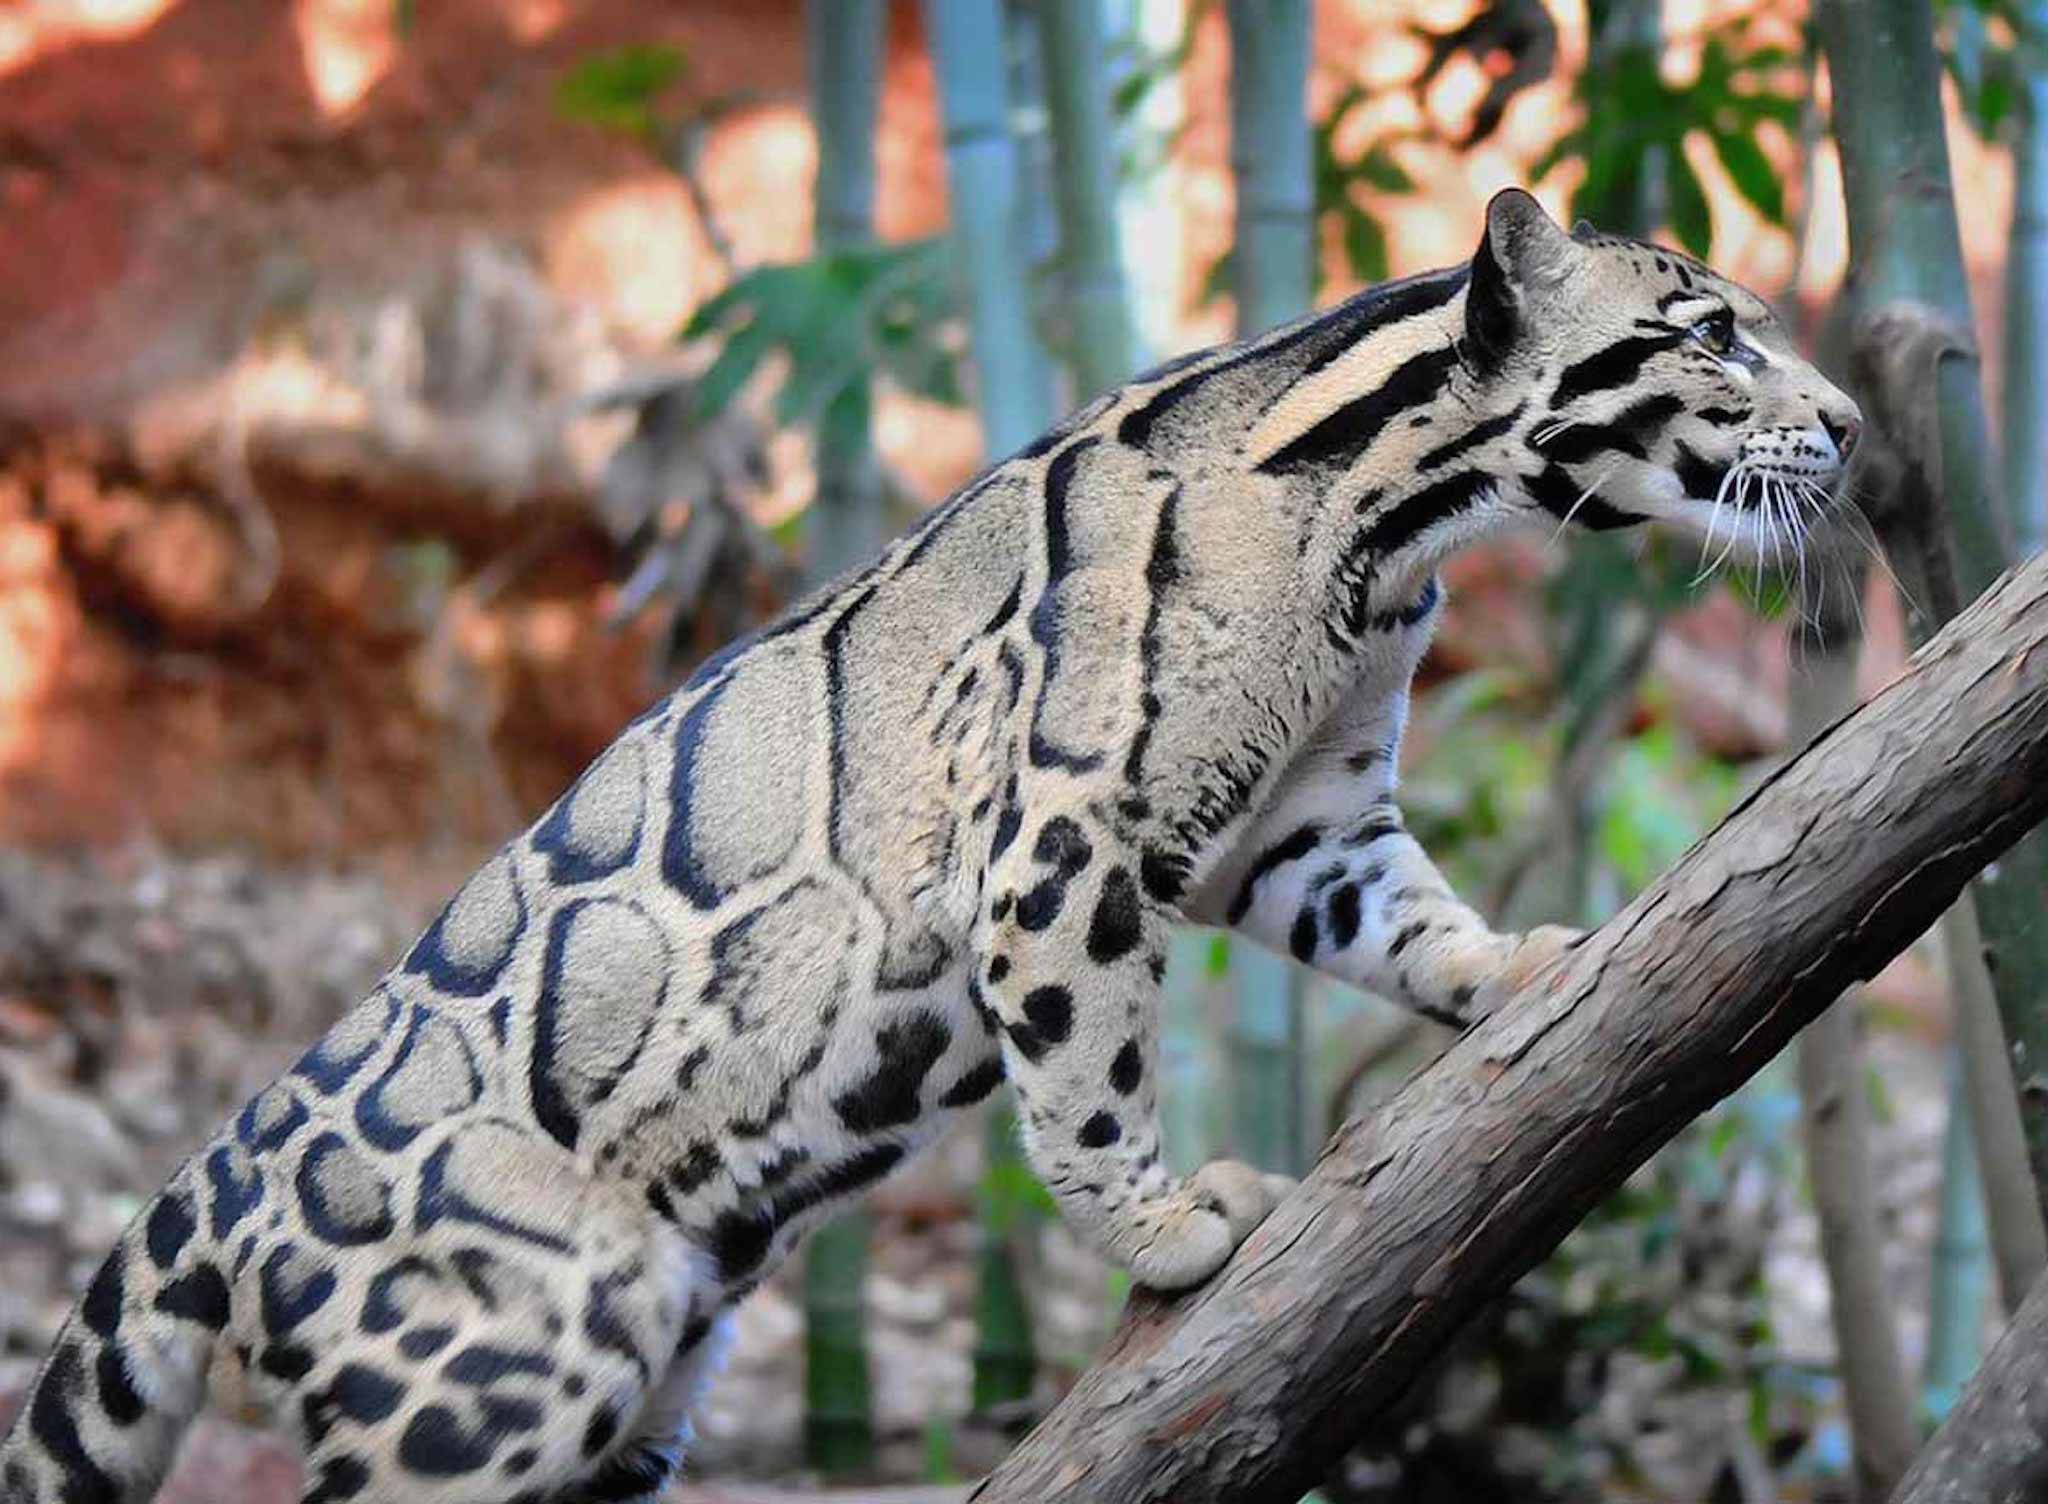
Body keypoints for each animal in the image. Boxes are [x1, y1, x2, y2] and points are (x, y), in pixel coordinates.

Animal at [0, 189, 1860, 1504]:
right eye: (1712, 332)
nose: (1845, 421)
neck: (1384, 538)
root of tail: (218, 1167)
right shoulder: (1060, 832)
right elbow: (1085, 1073)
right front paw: (1161, 1221)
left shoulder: (1309, 818)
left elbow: (1400, 914)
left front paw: (1514, 966)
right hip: (496, 1380)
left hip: (637, 1396)